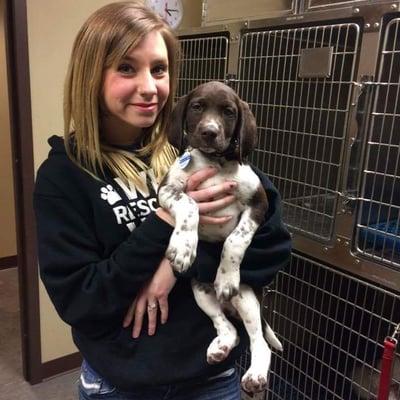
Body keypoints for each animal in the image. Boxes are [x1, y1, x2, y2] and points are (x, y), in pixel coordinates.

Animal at [158, 81, 282, 394]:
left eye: (228, 111)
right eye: (197, 106)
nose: (209, 132)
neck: (213, 162)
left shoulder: (259, 204)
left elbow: (235, 241)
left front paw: (226, 278)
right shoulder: (167, 190)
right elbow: (190, 205)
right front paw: (183, 248)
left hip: (247, 297)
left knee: (259, 341)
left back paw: (255, 375)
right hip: (200, 291)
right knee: (228, 328)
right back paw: (220, 346)